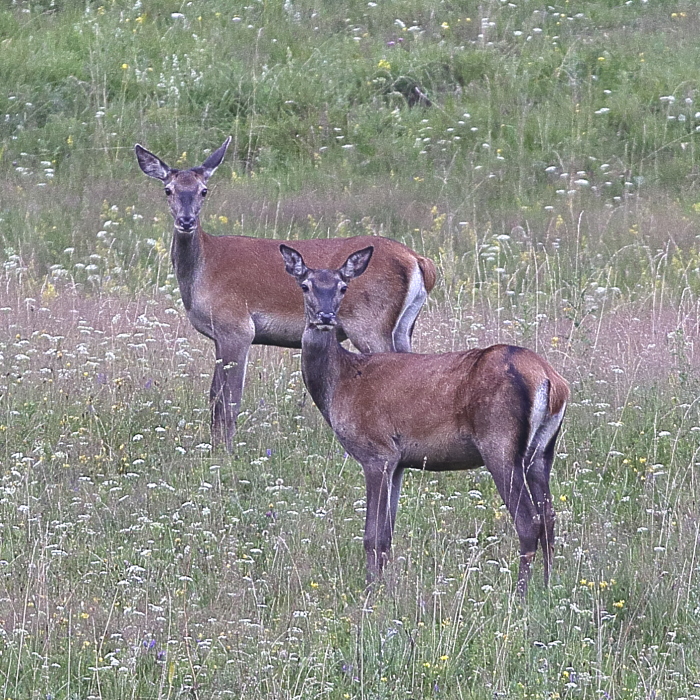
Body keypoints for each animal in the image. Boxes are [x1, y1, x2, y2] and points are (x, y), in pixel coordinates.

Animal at [134, 139, 434, 452]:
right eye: (168, 189)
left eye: (204, 190)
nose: (186, 220)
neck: (203, 271)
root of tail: (417, 260)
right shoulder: (219, 335)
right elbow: (215, 396)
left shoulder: (237, 327)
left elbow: (228, 401)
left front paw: (224, 452)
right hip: (403, 326)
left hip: (369, 324)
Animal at [282, 243, 572, 592]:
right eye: (305, 285)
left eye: (342, 287)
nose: (325, 318)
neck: (342, 383)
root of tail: (550, 379)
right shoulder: (398, 462)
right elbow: (386, 536)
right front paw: (384, 586)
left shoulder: (376, 452)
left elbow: (371, 535)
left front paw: (371, 591)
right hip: (542, 450)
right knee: (550, 518)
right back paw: (548, 586)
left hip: (500, 442)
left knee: (529, 521)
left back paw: (520, 594)